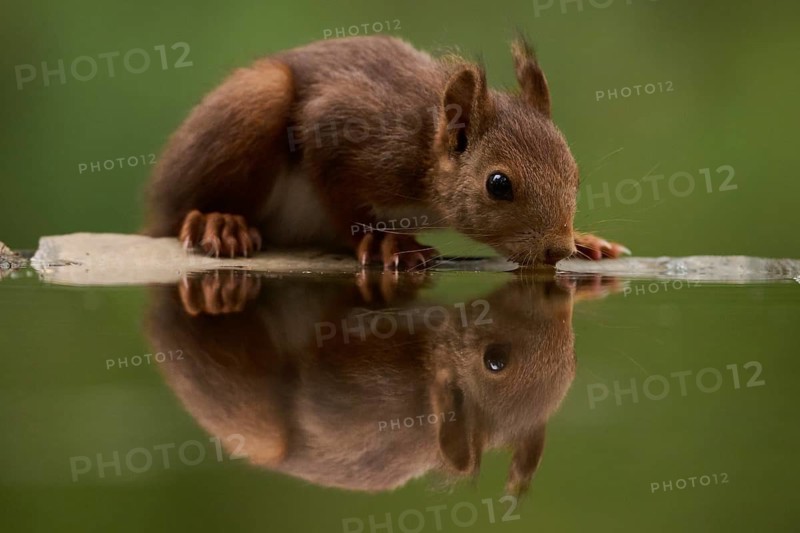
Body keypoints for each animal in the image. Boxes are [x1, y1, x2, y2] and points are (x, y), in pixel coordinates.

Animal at [145, 35, 629, 269]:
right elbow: (340, 196)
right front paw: (382, 240)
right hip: (256, 101)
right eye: (498, 184)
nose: (557, 249)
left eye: (575, 176)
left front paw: (587, 241)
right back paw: (218, 221)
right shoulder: (346, 132)